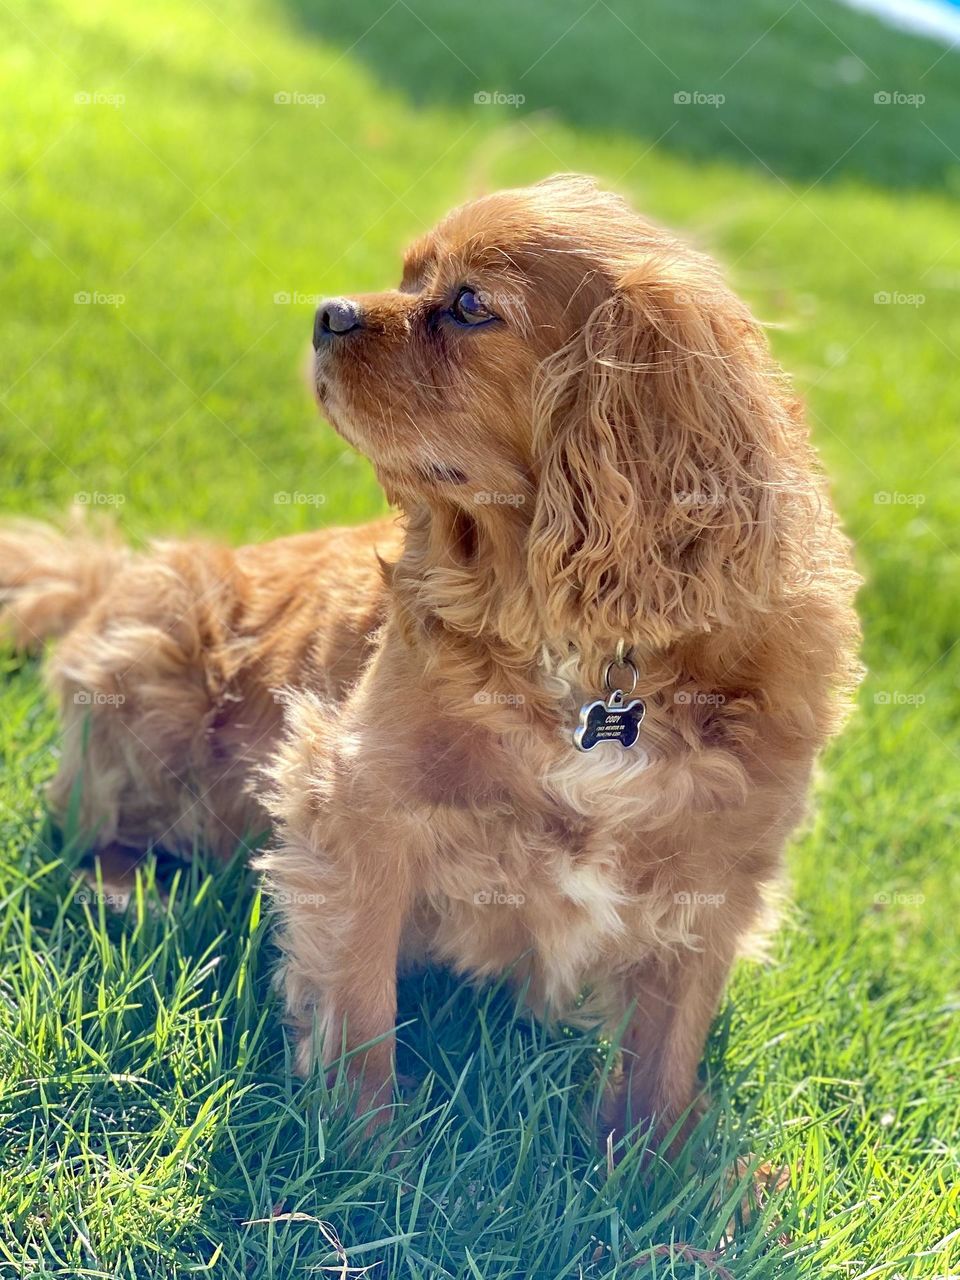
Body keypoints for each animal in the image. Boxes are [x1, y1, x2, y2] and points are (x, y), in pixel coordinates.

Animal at [0, 175, 865, 1146]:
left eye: (469, 306)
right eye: (408, 276)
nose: (327, 312)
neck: (584, 659)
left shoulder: (720, 876)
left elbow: (664, 1058)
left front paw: (651, 1174)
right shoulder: (359, 805)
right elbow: (359, 1001)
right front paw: (361, 1151)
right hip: (152, 660)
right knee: (83, 823)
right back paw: (126, 893)